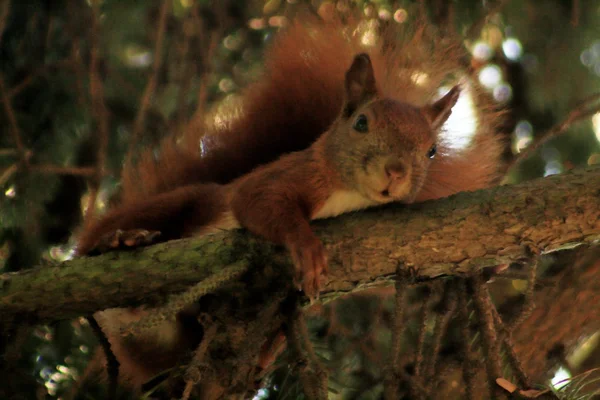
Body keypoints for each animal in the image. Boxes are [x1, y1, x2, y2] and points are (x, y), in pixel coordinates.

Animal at [76, 14, 506, 388]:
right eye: (361, 123)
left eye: (431, 151)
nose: (396, 172)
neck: (347, 194)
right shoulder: (282, 178)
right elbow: (260, 203)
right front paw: (306, 247)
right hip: (181, 203)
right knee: (91, 247)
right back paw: (119, 240)